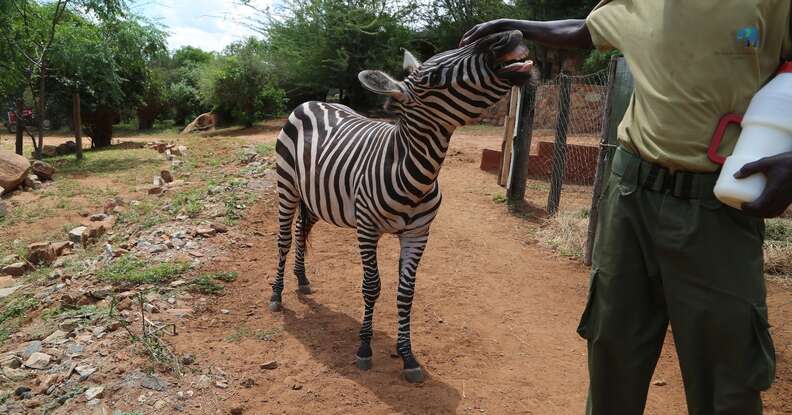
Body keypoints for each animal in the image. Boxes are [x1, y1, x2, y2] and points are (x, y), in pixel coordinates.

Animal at [270, 30, 536, 386]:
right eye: (434, 78)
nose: (509, 34)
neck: (413, 172)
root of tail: (311, 102)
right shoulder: (367, 229)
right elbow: (372, 287)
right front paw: (364, 348)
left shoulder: (418, 233)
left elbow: (406, 293)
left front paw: (407, 355)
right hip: (286, 185)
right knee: (285, 238)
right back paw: (277, 293)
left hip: (314, 195)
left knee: (302, 230)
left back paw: (301, 279)